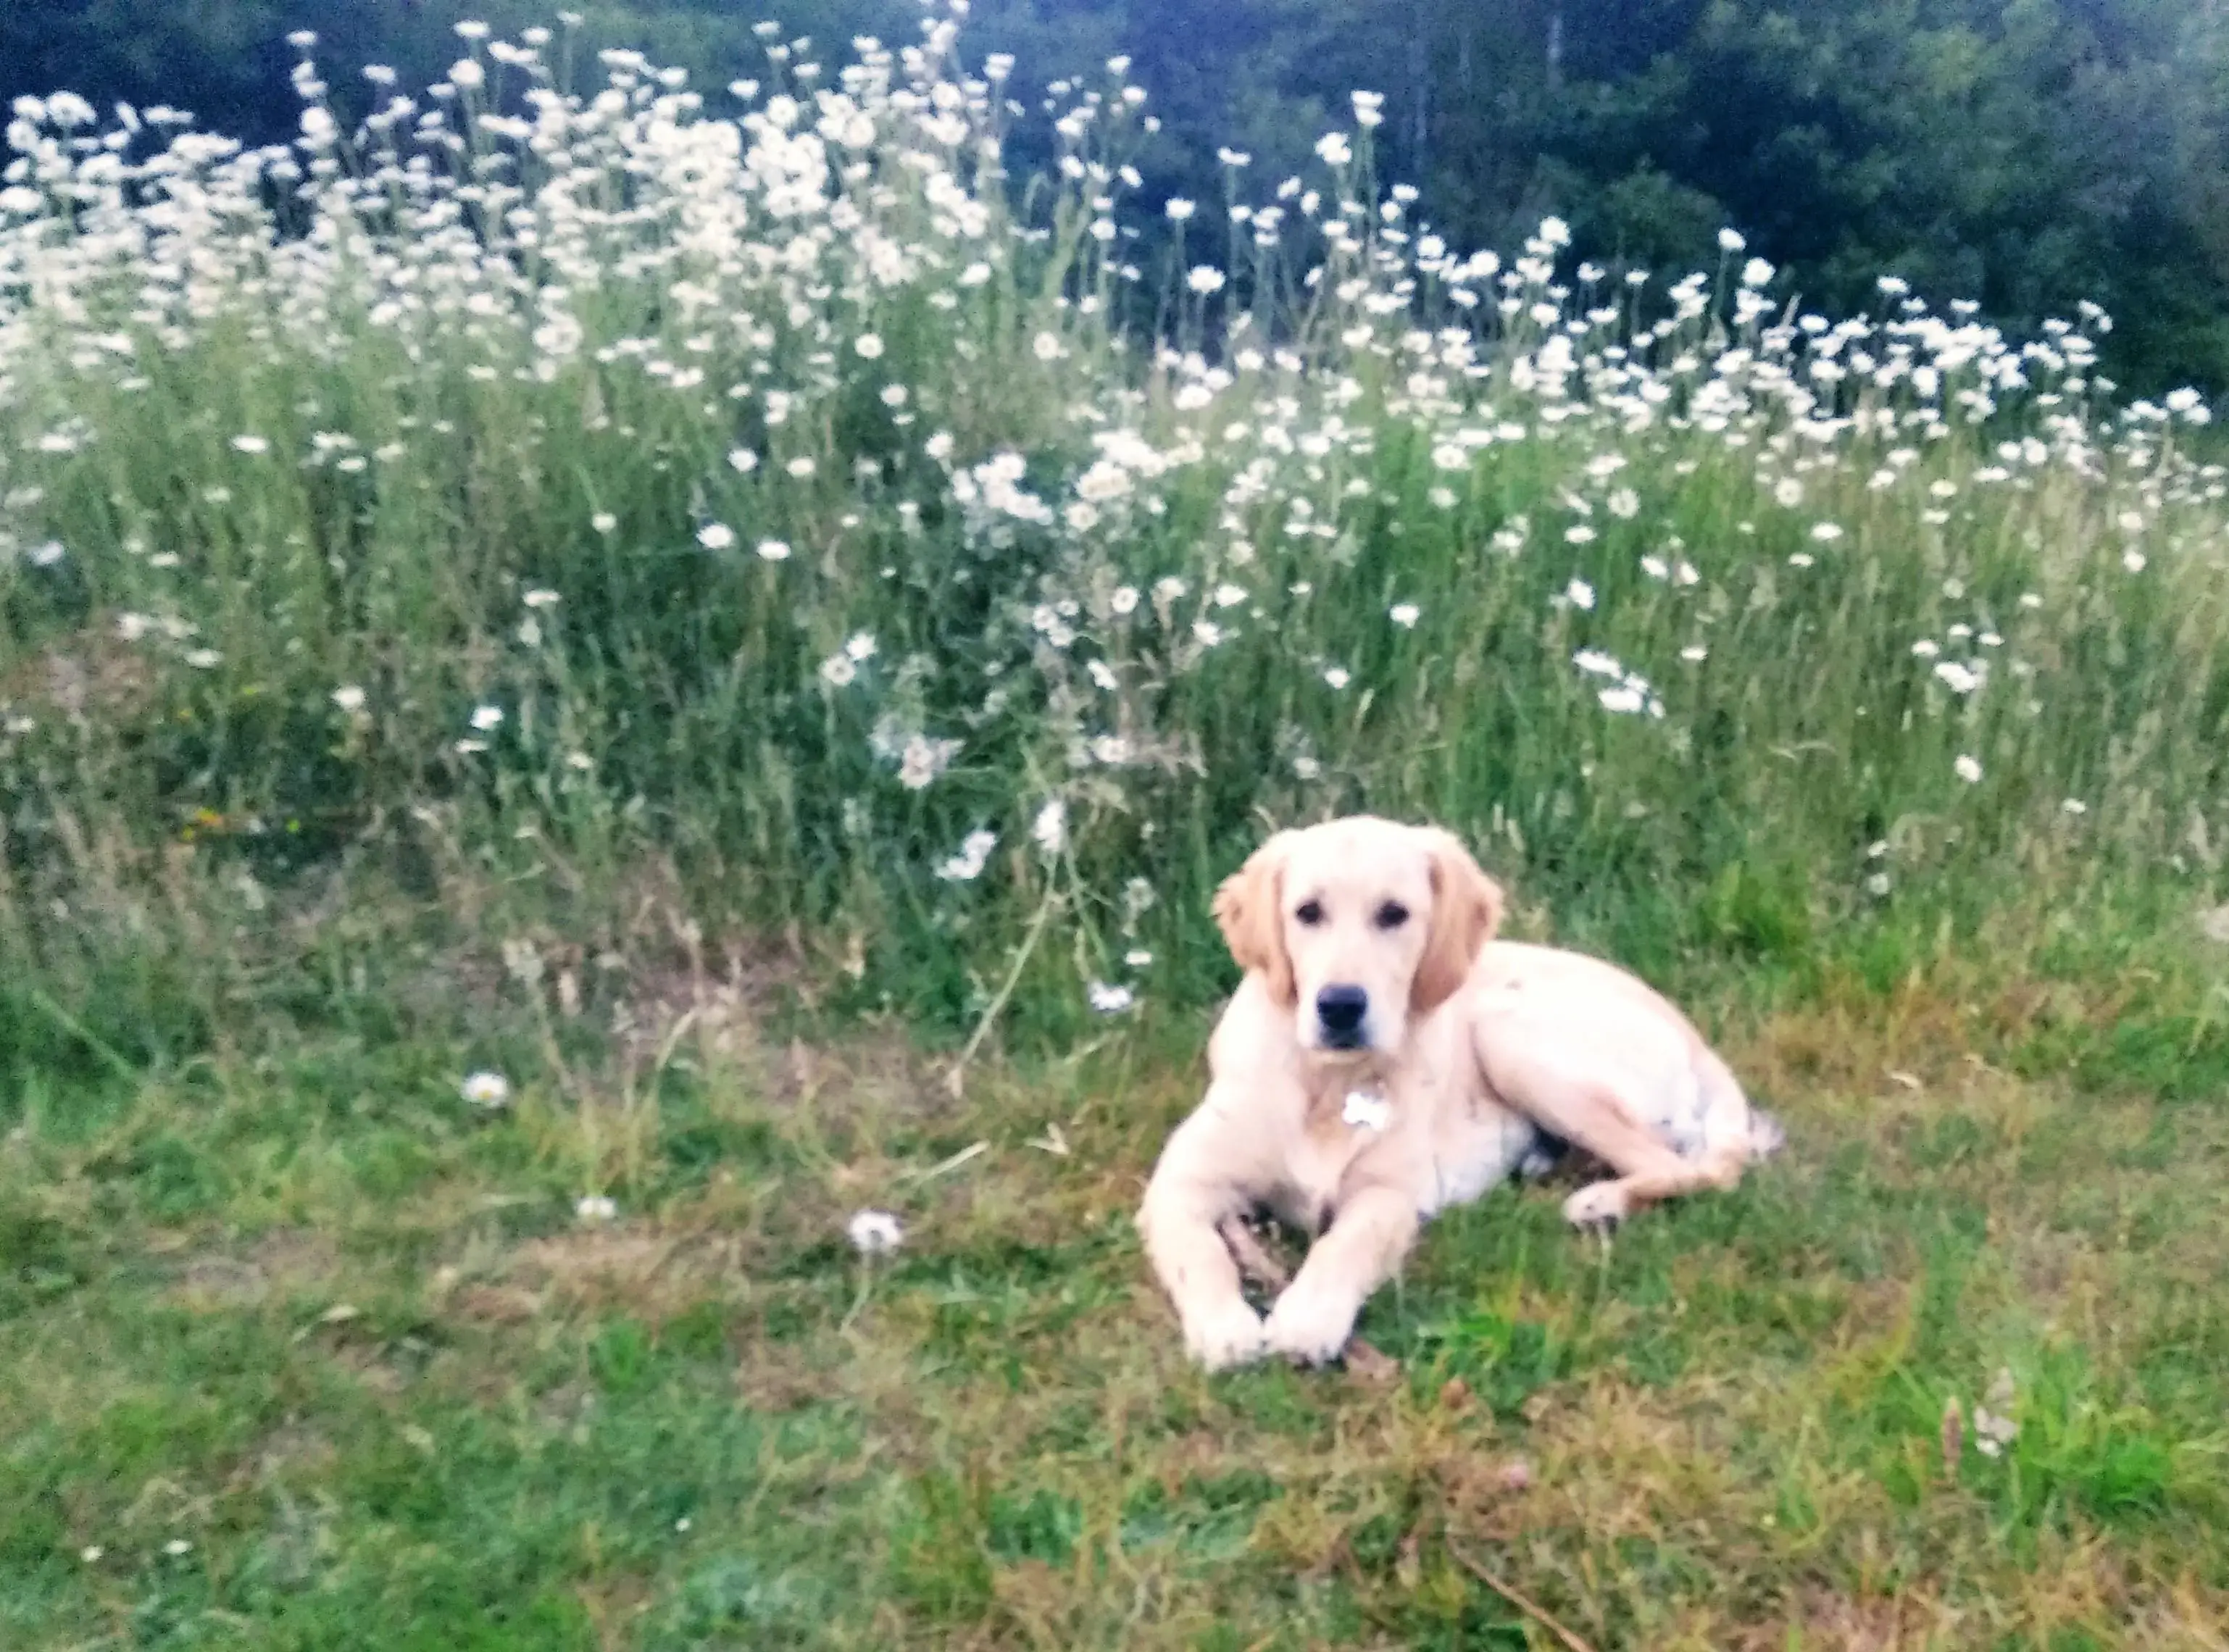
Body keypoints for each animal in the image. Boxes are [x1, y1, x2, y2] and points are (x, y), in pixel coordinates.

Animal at [1141, 812, 1783, 1364]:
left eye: (1394, 914)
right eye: (1308, 912)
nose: (1341, 1006)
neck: (1330, 1081)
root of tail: (1696, 1040)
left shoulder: (1389, 1197)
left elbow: (1343, 1246)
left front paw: (1309, 1318)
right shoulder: (1178, 1183)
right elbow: (1200, 1251)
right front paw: (1225, 1328)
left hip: (1510, 1032)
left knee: (1692, 1167)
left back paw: (1599, 1201)